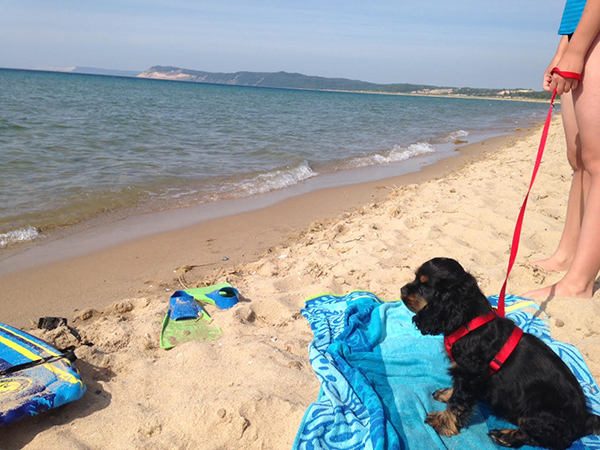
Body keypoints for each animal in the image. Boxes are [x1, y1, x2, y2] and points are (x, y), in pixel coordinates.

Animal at [398, 256, 600, 450]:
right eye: (416, 278)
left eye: (424, 285)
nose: (402, 290)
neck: (469, 322)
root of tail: (584, 420)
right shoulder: (464, 372)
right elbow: (455, 390)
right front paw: (446, 394)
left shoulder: (470, 373)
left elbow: (458, 401)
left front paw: (443, 422)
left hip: (538, 410)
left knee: (547, 439)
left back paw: (505, 436)